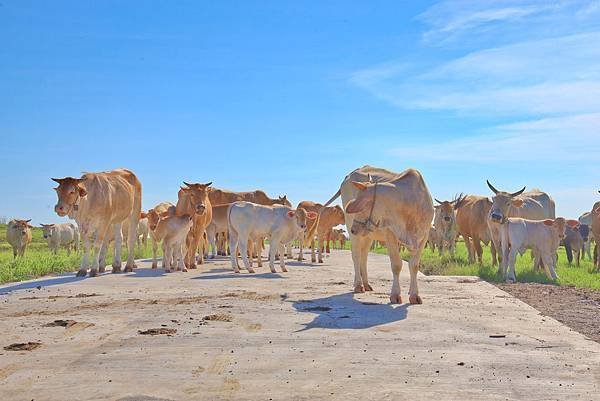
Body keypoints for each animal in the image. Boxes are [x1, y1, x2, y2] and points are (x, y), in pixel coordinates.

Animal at [324, 166, 432, 304]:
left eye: (362, 206)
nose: (354, 228)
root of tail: (349, 176)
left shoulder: (424, 236)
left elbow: (414, 265)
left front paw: (414, 295)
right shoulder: (390, 234)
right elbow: (396, 265)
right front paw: (395, 295)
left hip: (367, 235)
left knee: (364, 256)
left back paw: (366, 284)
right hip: (355, 233)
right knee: (356, 256)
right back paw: (358, 285)